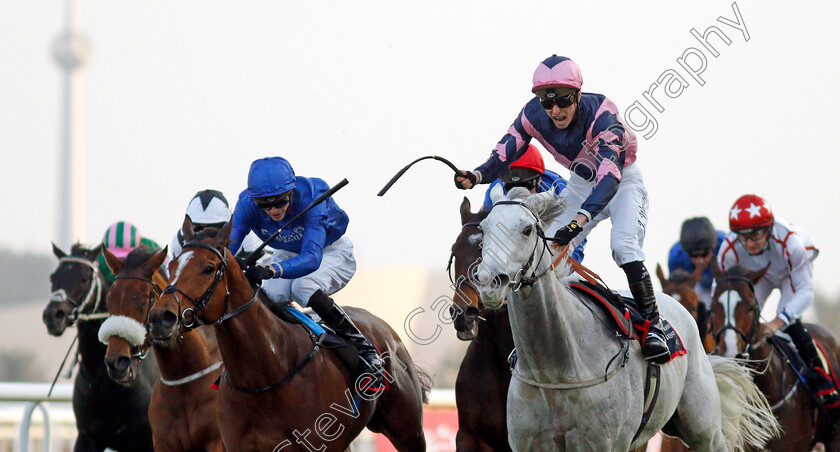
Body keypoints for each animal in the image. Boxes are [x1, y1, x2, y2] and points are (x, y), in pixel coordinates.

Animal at [41, 244, 158, 452]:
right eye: (53, 277)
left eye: (84, 278)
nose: (53, 315)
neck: (107, 383)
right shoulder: (88, 437)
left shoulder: (149, 440)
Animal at [98, 247, 225, 452]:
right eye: (110, 299)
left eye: (143, 301)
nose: (116, 363)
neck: (185, 377)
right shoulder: (163, 442)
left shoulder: (218, 440)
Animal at [476, 188, 776, 452]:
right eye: (483, 229)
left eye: (527, 229)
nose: (489, 282)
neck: (555, 367)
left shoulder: (606, 444)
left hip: (703, 426)